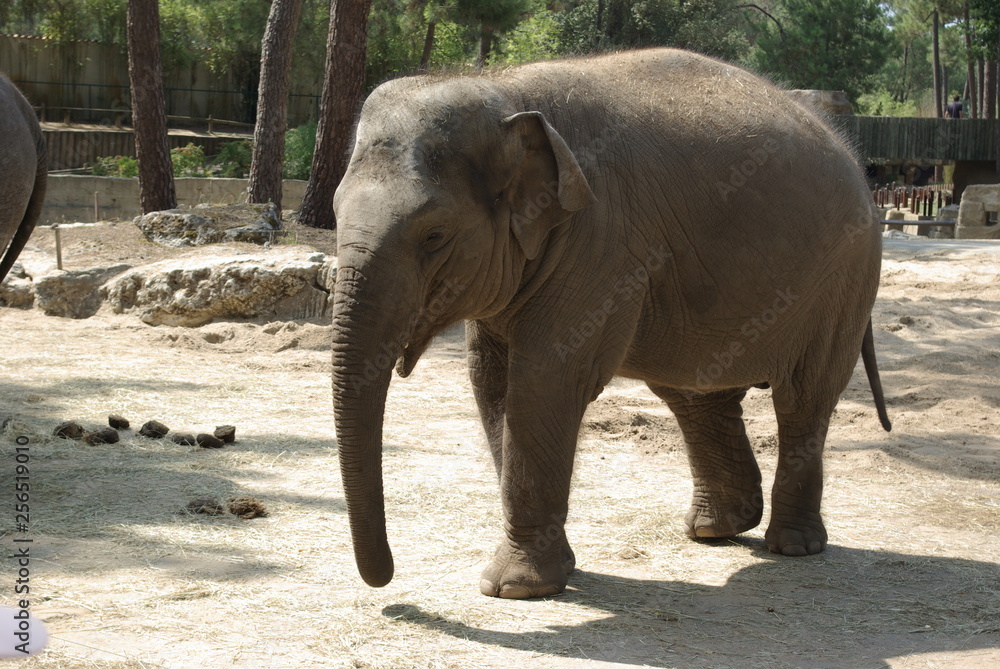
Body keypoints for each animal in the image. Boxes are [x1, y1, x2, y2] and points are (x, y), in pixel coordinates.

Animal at [331, 48, 891, 599]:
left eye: (434, 235)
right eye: (333, 214)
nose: (386, 580)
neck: (505, 90)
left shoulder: (600, 238)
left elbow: (545, 380)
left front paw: (514, 588)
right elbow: (491, 383)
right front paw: (551, 575)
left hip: (845, 279)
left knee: (803, 396)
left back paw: (793, 546)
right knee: (696, 392)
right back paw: (715, 530)